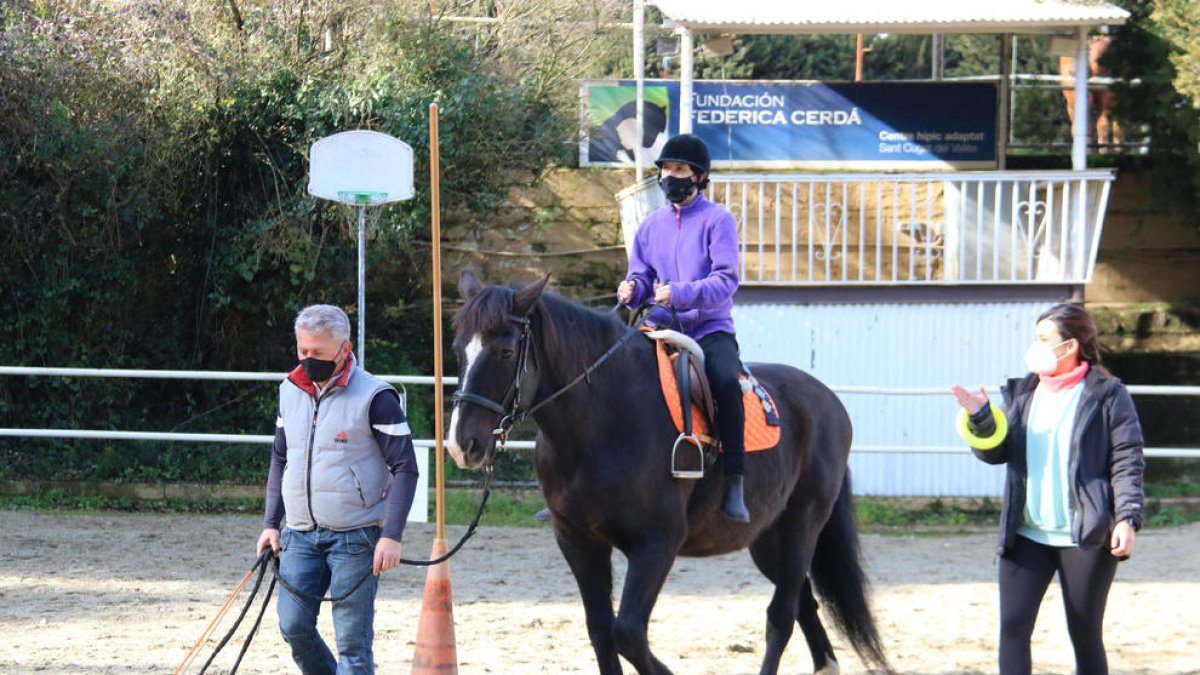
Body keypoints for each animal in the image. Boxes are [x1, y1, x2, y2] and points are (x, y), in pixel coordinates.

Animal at [446, 270, 888, 672]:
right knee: (803, 602)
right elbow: (601, 632)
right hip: (767, 538)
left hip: (803, 526)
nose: (461, 444)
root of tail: (828, 400)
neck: (603, 421)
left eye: (505, 351)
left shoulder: (657, 543)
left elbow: (627, 633)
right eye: (457, 349)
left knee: (781, 615)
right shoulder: (578, 541)